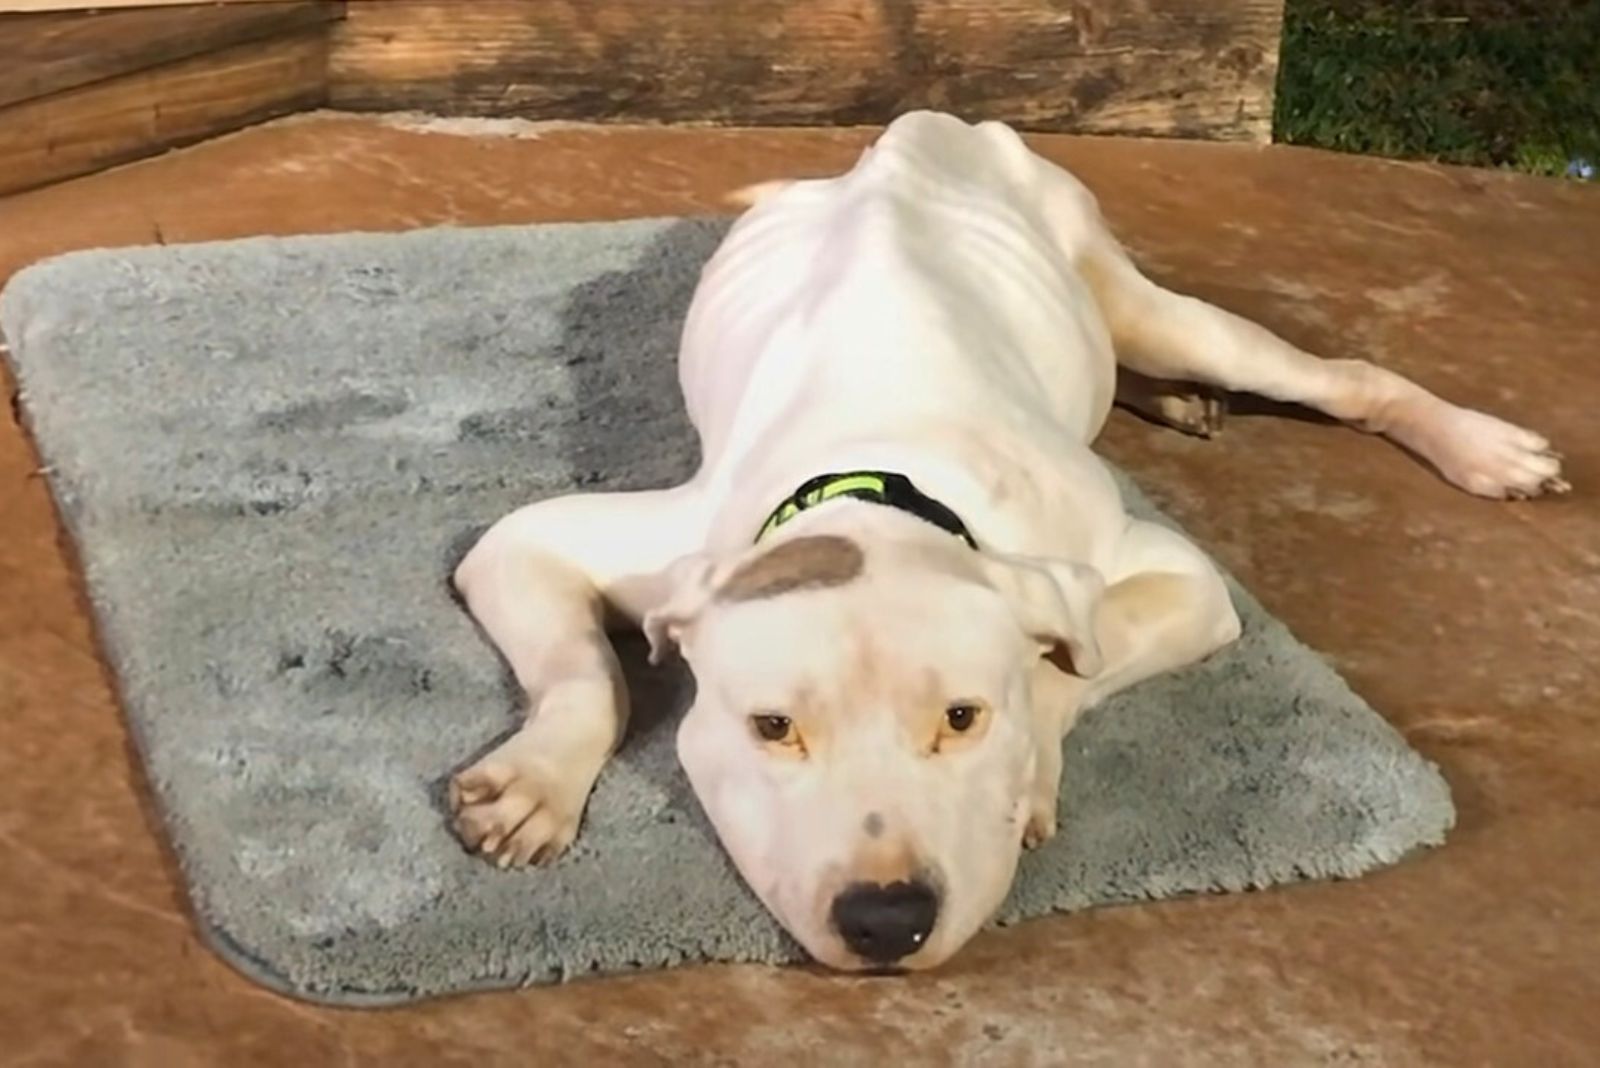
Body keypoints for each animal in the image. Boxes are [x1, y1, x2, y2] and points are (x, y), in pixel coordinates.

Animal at [444, 112, 1568, 972]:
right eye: (772, 729)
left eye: (962, 718)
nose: (886, 918)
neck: (883, 486)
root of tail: (919, 135)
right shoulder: (557, 545)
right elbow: (583, 672)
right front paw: (535, 781)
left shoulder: (1180, 582)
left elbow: (1075, 665)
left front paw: (1030, 767)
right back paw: (1178, 400)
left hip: (1154, 302)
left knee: (1331, 377)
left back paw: (1478, 446)